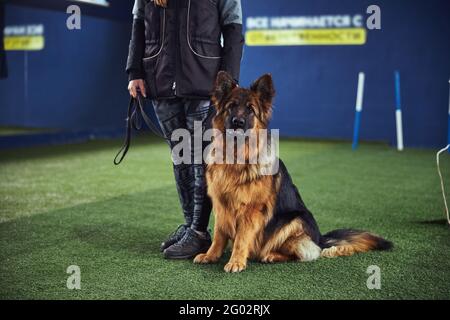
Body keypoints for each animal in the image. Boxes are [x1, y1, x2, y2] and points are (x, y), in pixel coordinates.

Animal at [195, 72, 392, 272]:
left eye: (250, 110)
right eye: (232, 107)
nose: (238, 122)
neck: (235, 158)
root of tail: (320, 239)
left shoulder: (251, 210)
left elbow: (241, 238)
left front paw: (236, 261)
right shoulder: (221, 205)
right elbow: (219, 234)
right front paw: (211, 255)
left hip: (293, 221)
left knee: (304, 253)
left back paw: (271, 255)